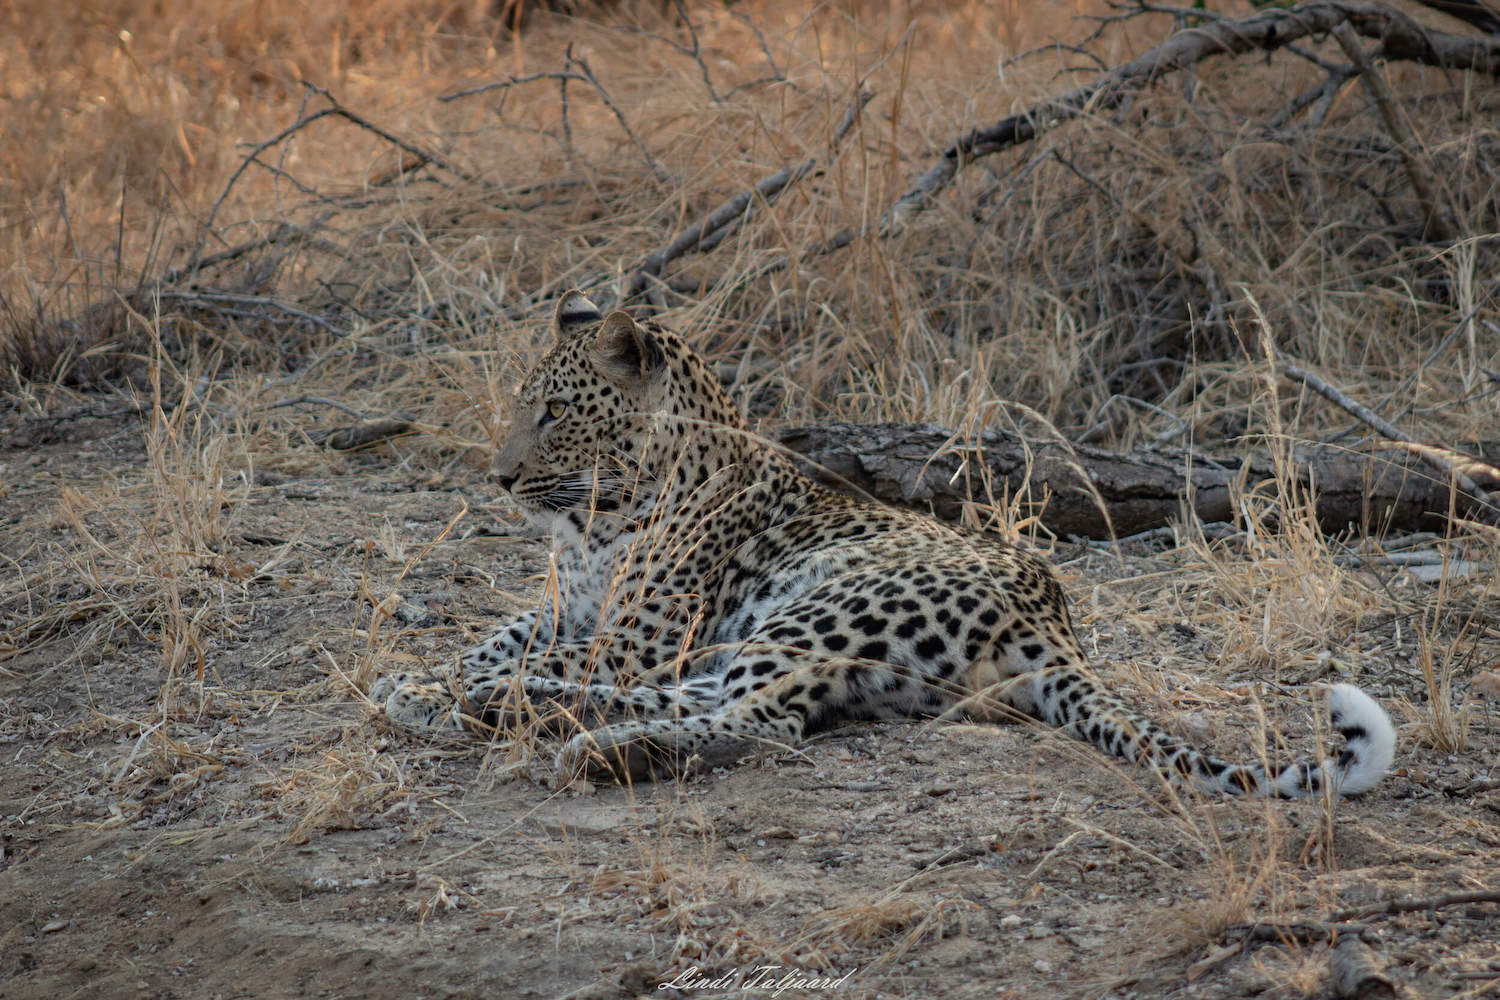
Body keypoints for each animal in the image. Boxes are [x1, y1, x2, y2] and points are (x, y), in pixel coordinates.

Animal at [371, 290, 1396, 794]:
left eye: (552, 412)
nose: (498, 479)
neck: (598, 517)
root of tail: (1056, 625)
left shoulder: (634, 636)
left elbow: (528, 655)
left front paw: (426, 686)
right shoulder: (577, 610)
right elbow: (495, 636)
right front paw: (427, 678)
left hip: (815, 611)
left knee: (755, 720)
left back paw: (574, 742)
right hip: (796, 643)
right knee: (722, 704)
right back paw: (521, 713)